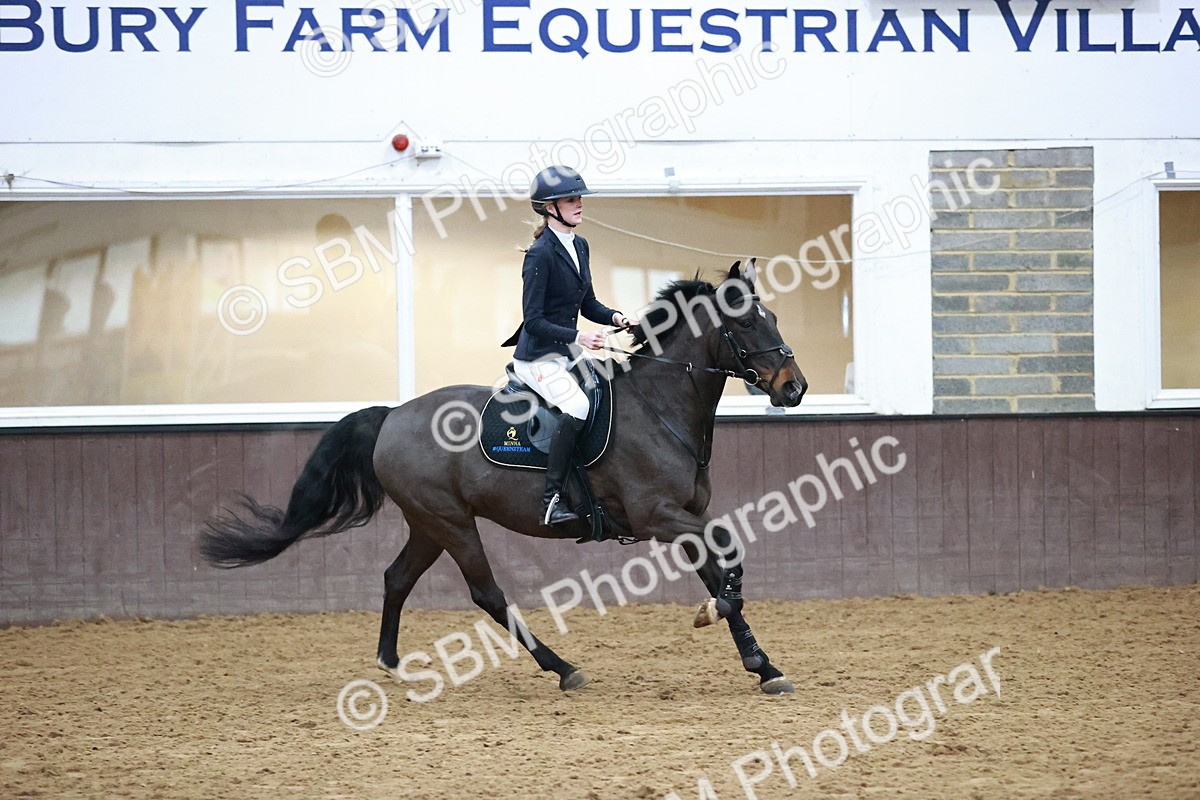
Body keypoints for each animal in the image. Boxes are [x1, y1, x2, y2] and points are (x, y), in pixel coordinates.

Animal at [199, 261, 808, 695]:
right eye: (747, 322)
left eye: (776, 318)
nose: (794, 387)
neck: (660, 408)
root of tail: (392, 415)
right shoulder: (658, 516)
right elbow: (729, 556)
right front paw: (721, 622)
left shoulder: (688, 516)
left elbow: (721, 569)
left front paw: (761, 663)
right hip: (451, 523)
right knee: (487, 594)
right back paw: (562, 668)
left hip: (430, 523)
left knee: (397, 577)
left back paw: (392, 662)